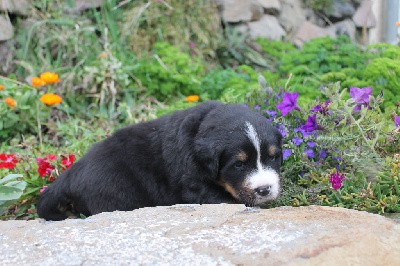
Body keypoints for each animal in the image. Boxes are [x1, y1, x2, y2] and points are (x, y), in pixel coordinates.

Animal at [36, 101, 282, 221]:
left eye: (273, 157)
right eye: (239, 164)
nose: (264, 189)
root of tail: (72, 172)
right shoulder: (198, 188)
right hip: (116, 196)